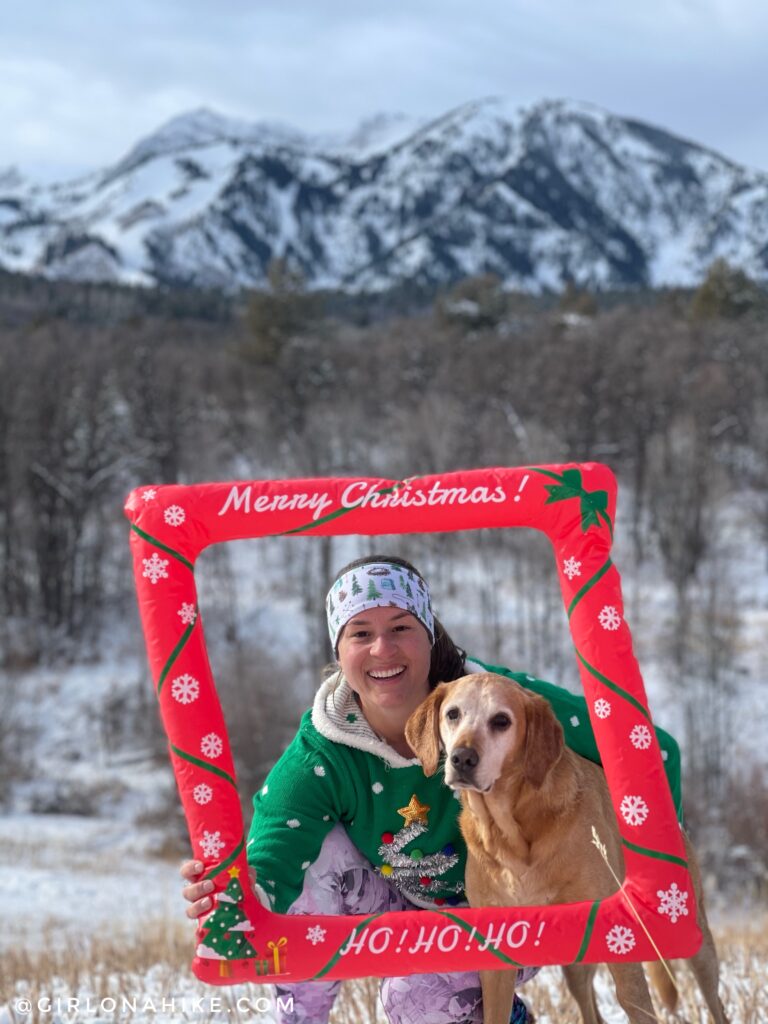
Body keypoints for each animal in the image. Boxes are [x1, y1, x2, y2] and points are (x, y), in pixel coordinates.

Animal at [405, 671, 729, 1024]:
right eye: (453, 714)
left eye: (501, 720)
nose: (462, 758)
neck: (511, 831)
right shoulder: (497, 956)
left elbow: (636, 1002)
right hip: (575, 963)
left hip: (691, 936)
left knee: (715, 1002)